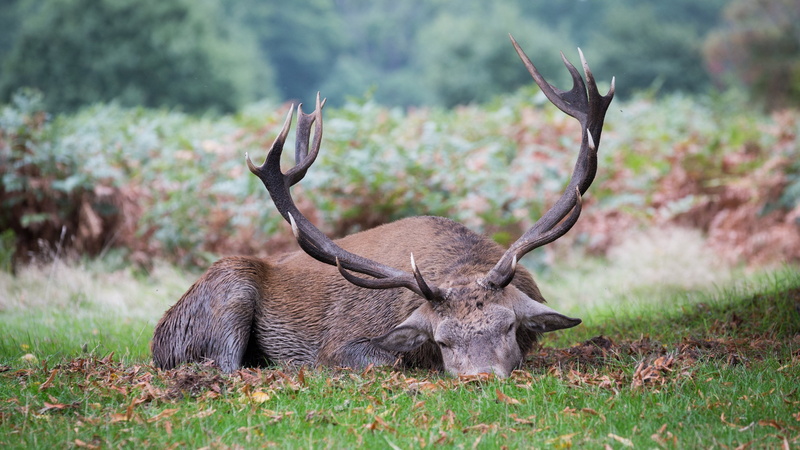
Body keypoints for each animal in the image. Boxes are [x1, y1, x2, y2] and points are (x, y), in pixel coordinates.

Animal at [151, 35, 614, 378]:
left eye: (510, 327)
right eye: (442, 340)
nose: (479, 376)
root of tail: (157, 340)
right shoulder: (341, 345)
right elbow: (385, 361)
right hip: (228, 289)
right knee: (226, 365)